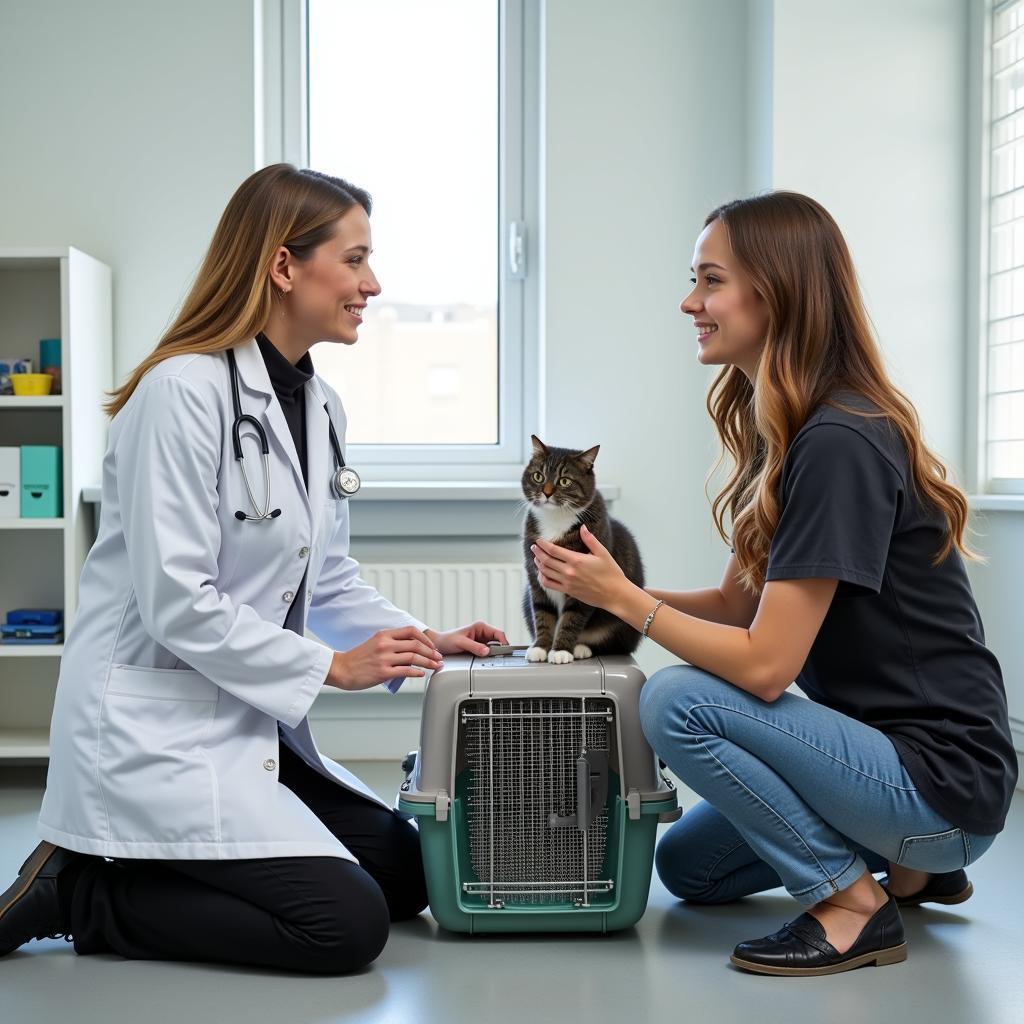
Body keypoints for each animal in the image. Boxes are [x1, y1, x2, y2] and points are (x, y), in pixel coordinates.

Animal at [524, 434, 643, 663]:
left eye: (565, 481)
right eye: (538, 476)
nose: (546, 492)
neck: (556, 519)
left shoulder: (583, 582)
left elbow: (572, 616)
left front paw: (561, 650)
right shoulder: (535, 576)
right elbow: (542, 613)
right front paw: (541, 647)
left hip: (622, 625)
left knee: (614, 644)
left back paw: (582, 648)